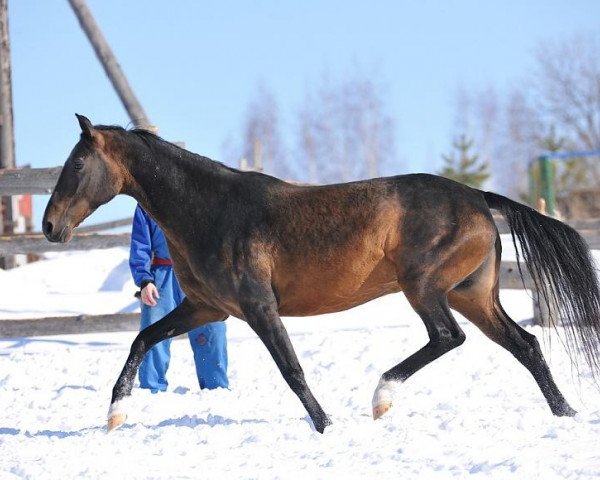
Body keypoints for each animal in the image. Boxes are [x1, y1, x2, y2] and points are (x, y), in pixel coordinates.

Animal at [44, 114, 600, 434]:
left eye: (77, 164)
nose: (49, 226)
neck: (211, 211)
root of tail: (479, 199)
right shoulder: (205, 308)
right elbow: (142, 340)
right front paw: (114, 415)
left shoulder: (258, 308)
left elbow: (292, 369)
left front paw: (325, 424)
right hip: (471, 294)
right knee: (524, 344)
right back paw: (566, 413)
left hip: (425, 288)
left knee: (449, 337)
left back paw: (381, 399)